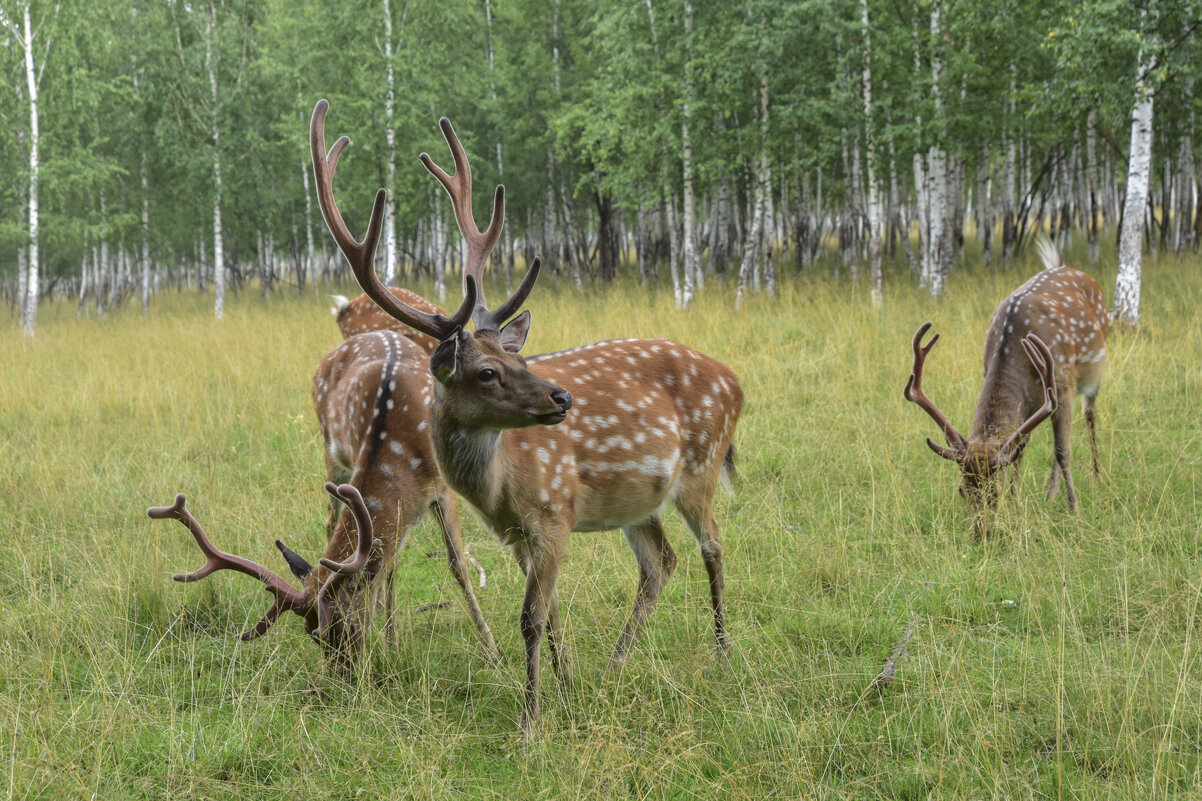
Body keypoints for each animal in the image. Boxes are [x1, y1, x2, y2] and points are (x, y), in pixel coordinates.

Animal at [310, 96, 740, 726]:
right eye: (487, 371)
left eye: (515, 357)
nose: (562, 398)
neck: (501, 488)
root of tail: (735, 380)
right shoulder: (519, 534)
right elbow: (551, 612)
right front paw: (566, 689)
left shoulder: (555, 514)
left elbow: (531, 618)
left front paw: (532, 719)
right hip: (642, 501)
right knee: (661, 562)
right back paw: (615, 666)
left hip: (703, 467)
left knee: (713, 548)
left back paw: (722, 651)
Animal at [903, 234, 1105, 526]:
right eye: (962, 489)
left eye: (993, 490)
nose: (981, 530)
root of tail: (1067, 266)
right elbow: (1020, 447)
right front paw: (1015, 500)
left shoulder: (1063, 384)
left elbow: (1062, 450)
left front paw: (1074, 509)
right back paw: (1050, 493)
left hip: (1092, 373)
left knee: (1089, 417)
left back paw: (1097, 478)